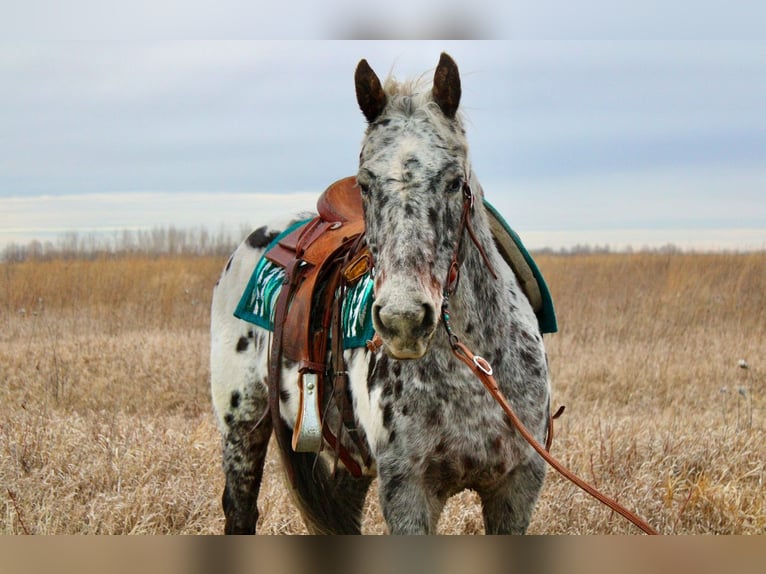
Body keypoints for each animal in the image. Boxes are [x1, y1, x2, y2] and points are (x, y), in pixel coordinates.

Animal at [210, 54, 552, 536]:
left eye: (454, 182)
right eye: (365, 185)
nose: (403, 321)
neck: (473, 369)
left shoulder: (516, 488)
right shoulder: (407, 490)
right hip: (241, 428)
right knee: (240, 510)